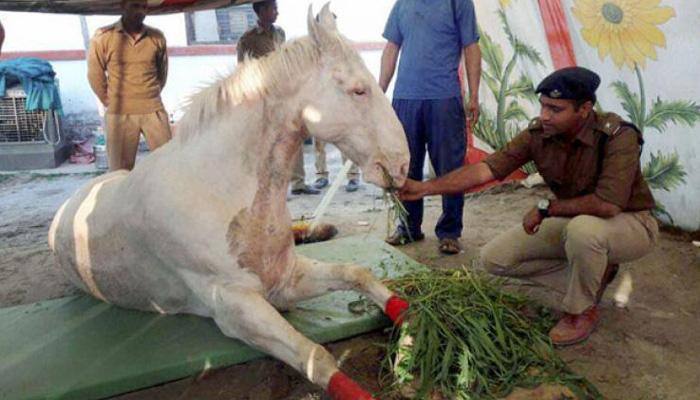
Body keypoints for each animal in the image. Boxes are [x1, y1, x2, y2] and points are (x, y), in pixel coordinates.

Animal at [50, 5, 416, 400]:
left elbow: (360, 275)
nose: (402, 166)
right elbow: (315, 357)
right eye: (358, 90)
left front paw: (412, 344)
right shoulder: (236, 306)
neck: (219, 189)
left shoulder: (285, 279)